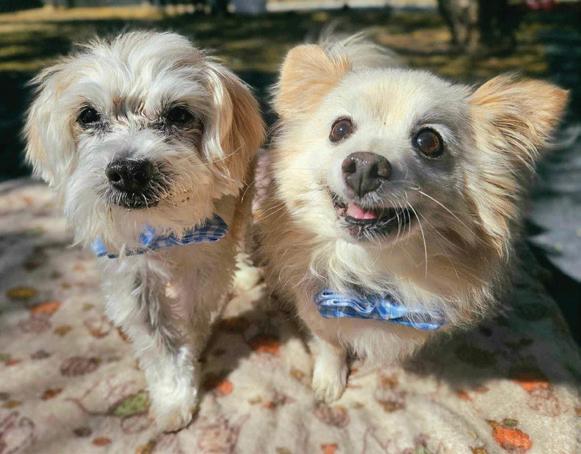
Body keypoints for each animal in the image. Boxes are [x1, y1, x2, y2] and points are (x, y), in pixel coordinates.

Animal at [24, 31, 264, 431]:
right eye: (87, 115)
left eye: (179, 114)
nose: (129, 171)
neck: (162, 228)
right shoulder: (129, 274)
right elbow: (157, 338)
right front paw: (174, 395)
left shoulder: (205, 267)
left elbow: (192, 319)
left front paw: (193, 352)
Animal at [255, 35, 567, 402]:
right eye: (340, 128)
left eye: (429, 141)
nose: (365, 166)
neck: (375, 272)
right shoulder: (320, 310)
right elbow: (331, 344)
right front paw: (329, 380)